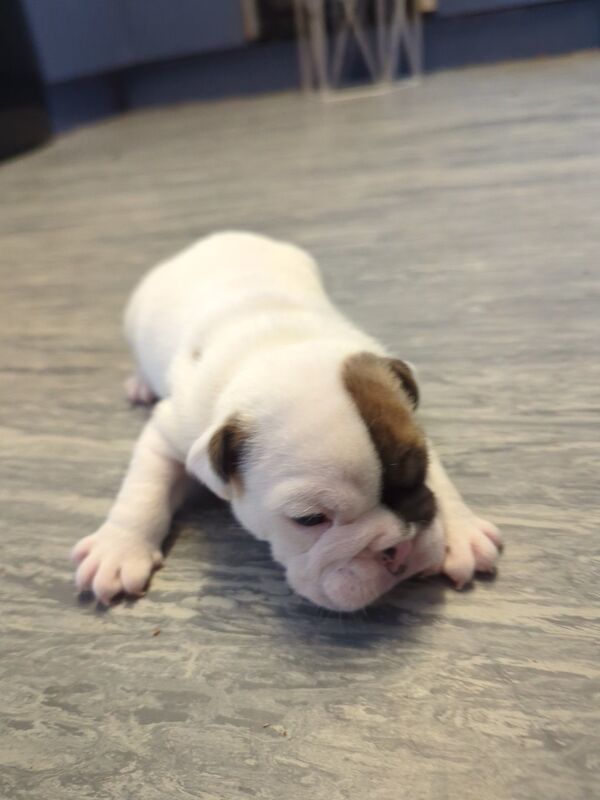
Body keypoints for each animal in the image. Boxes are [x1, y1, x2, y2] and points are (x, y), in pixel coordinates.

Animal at [70, 231, 502, 612]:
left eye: (418, 475)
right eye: (309, 520)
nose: (399, 547)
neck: (276, 345)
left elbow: (443, 485)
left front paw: (460, 530)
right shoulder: (168, 432)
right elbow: (143, 491)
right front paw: (118, 548)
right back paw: (141, 383)